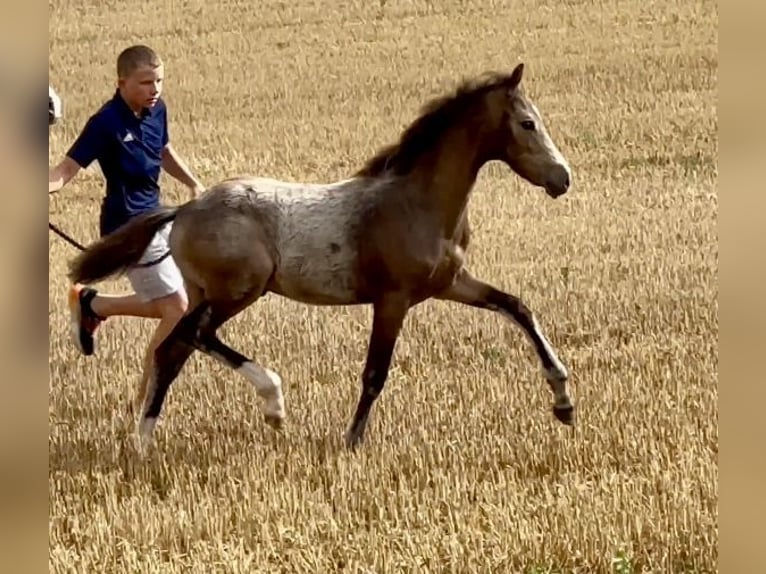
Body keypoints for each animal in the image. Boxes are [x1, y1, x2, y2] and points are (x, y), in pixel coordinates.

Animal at [69, 62, 576, 450]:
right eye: (528, 123)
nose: (563, 178)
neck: (418, 203)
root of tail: (186, 209)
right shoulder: (392, 300)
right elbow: (375, 372)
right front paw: (351, 441)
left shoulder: (450, 283)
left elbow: (517, 306)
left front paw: (564, 401)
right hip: (238, 290)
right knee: (188, 339)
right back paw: (268, 404)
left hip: (205, 293)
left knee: (174, 349)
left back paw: (146, 439)